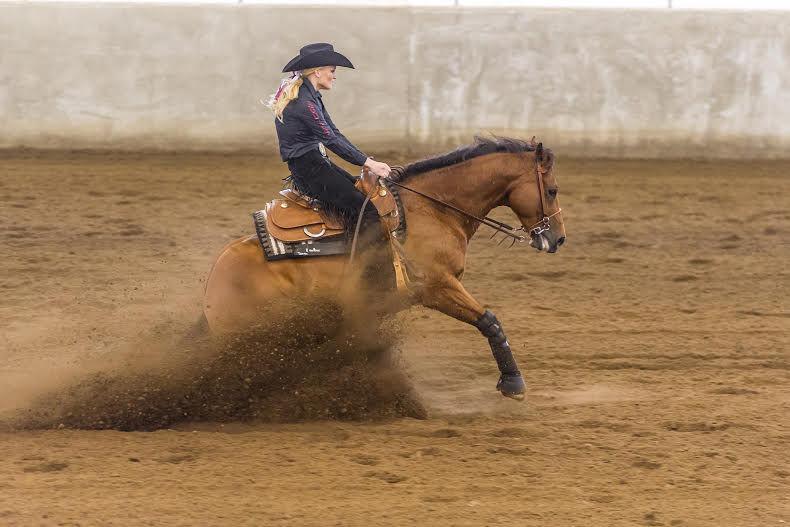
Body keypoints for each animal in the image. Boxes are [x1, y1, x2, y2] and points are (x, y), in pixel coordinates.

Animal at [201, 136, 568, 400]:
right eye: (552, 190)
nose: (558, 238)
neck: (432, 210)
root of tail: (215, 278)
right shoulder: (438, 287)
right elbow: (489, 321)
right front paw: (513, 382)